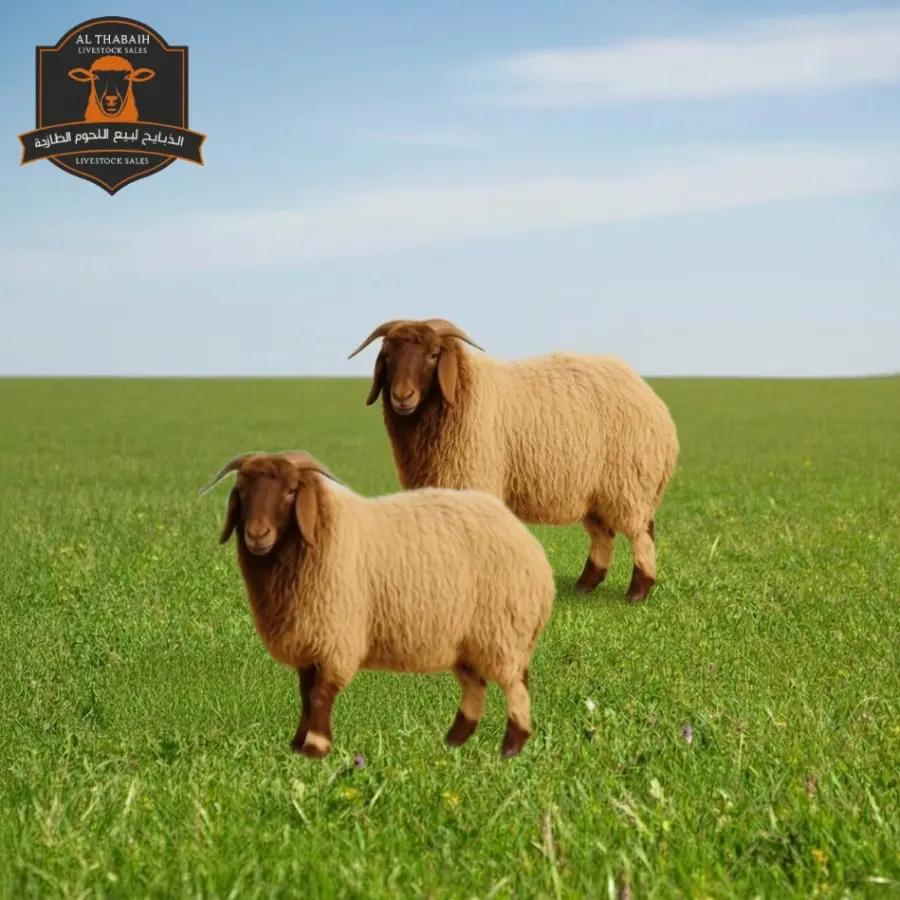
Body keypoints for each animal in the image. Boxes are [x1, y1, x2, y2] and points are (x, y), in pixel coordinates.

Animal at [200, 449, 556, 760]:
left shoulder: (336, 639)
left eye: (290, 491)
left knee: (515, 683)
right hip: (465, 640)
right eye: (241, 491)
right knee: (475, 684)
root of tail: (525, 538)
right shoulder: (309, 641)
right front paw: (299, 743)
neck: (321, 531)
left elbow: (320, 695)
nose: (257, 535)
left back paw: (511, 746)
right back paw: (455, 739)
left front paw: (315, 748)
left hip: (502, 630)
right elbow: (305, 694)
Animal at [348, 318, 679, 603]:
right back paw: (585, 585)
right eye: (387, 355)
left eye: (433, 355)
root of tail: (650, 396)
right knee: (603, 534)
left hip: (630, 483)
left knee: (641, 531)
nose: (402, 396)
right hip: (594, 491)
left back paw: (638, 591)